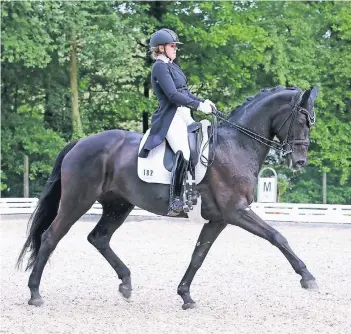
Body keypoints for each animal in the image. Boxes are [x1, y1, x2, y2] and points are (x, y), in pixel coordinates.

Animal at [17, 85, 320, 310]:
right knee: (50, 237)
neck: (236, 145)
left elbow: (198, 255)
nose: (300, 161)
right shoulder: (236, 211)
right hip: (77, 201)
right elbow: (276, 236)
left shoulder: (219, 219)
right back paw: (34, 294)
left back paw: (126, 283)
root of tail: (80, 142)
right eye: (302, 120)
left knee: (98, 238)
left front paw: (185, 295)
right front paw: (308, 277)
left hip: (118, 205)